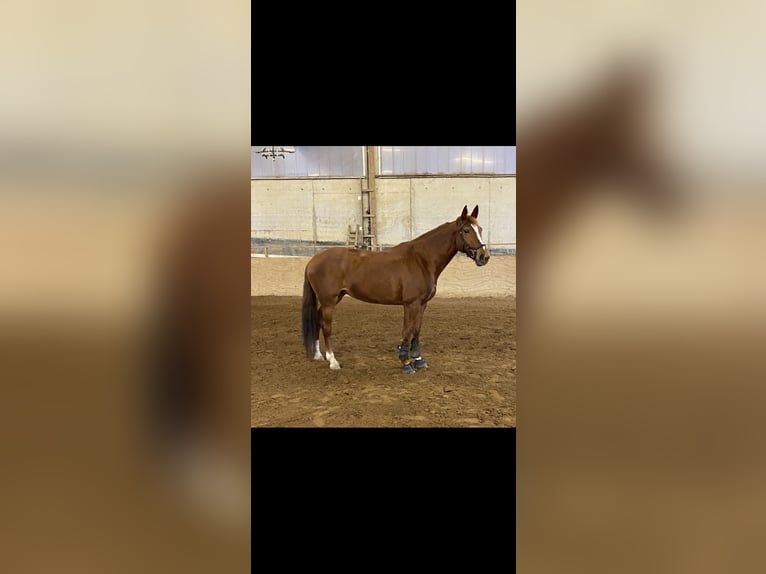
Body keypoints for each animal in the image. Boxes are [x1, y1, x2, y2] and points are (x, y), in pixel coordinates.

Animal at [302, 204, 490, 374]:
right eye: (466, 230)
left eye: (479, 229)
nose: (484, 257)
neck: (422, 260)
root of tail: (313, 260)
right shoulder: (411, 304)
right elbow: (407, 331)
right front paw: (406, 363)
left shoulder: (422, 304)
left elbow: (416, 330)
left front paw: (418, 360)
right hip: (329, 302)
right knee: (326, 326)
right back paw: (333, 361)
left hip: (333, 299)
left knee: (317, 318)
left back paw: (319, 355)